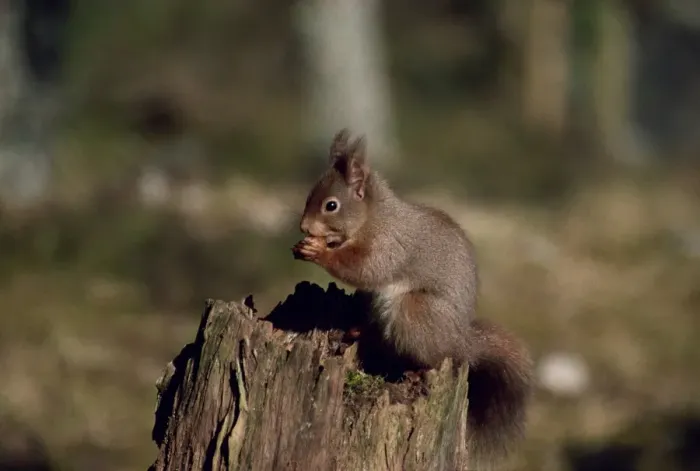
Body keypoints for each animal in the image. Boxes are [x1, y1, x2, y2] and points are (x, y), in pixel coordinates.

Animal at [292, 129, 533, 468]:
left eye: (331, 205)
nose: (303, 227)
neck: (374, 217)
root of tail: (460, 341)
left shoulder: (389, 244)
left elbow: (365, 268)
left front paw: (319, 252)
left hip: (415, 312)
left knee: (437, 358)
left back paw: (419, 370)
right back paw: (356, 331)